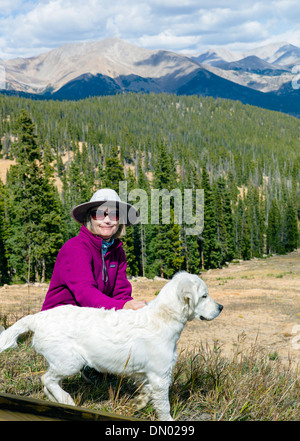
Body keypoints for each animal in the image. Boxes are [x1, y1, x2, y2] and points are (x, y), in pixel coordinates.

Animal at [0, 272, 223, 420]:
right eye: (204, 296)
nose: (220, 307)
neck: (162, 318)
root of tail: (38, 318)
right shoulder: (161, 376)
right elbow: (164, 406)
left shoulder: (149, 375)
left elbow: (147, 393)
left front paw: (138, 402)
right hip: (70, 362)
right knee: (46, 378)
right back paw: (66, 399)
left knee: (48, 381)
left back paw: (57, 400)